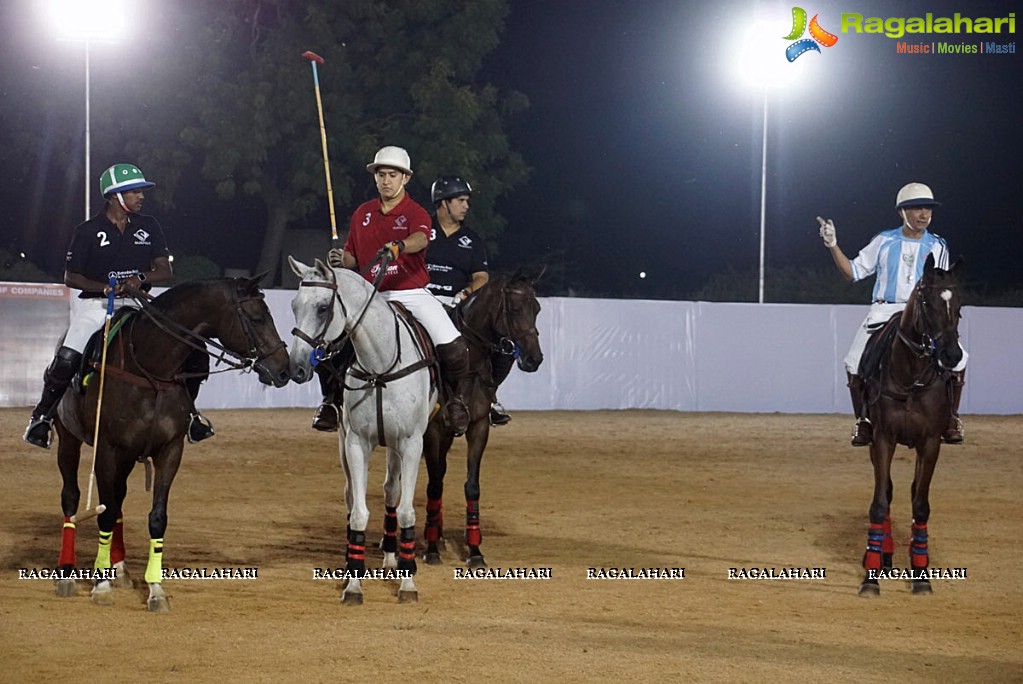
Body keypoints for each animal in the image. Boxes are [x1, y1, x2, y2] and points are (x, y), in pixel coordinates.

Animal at [54, 276, 290, 609]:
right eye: (257, 318)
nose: (285, 370)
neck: (150, 369)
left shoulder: (170, 450)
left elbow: (156, 517)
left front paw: (155, 589)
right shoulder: (107, 449)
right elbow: (105, 512)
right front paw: (100, 585)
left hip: (127, 457)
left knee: (118, 497)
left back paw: (120, 569)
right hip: (69, 439)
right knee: (72, 497)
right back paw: (67, 573)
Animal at [288, 257, 435, 601]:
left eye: (323, 308)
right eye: (294, 305)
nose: (296, 367)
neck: (380, 368)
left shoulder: (411, 443)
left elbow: (406, 510)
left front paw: (408, 582)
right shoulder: (356, 443)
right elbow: (357, 511)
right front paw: (353, 583)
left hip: (396, 446)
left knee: (392, 492)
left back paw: (394, 557)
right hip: (345, 443)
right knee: (350, 496)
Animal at [419, 269, 544, 564]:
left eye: (537, 309)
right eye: (516, 308)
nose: (534, 359)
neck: (467, 365)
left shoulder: (477, 427)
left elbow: (471, 486)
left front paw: (474, 551)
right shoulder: (433, 431)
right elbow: (433, 485)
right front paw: (430, 549)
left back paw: (439, 534)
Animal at [859, 253, 961, 593]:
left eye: (959, 304)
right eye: (926, 302)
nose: (952, 355)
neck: (910, 377)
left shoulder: (929, 443)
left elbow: (920, 504)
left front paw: (922, 576)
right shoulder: (883, 438)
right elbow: (880, 502)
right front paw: (871, 578)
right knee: (888, 492)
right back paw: (883, 555)